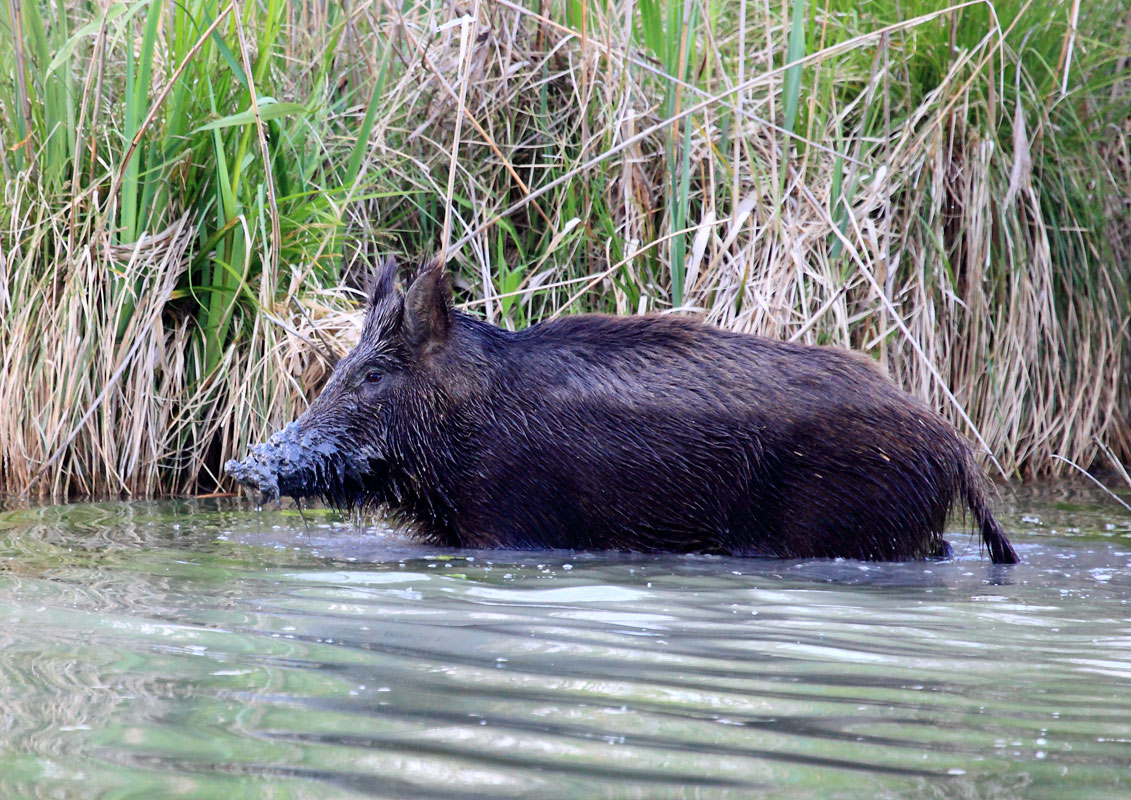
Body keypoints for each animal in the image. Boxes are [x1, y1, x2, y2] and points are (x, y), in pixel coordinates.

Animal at [225, 256, 1019, 563]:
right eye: (339, 367)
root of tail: (955, 448)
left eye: (374, 374)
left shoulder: (506, 524)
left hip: (855, 528)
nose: (242, 465)